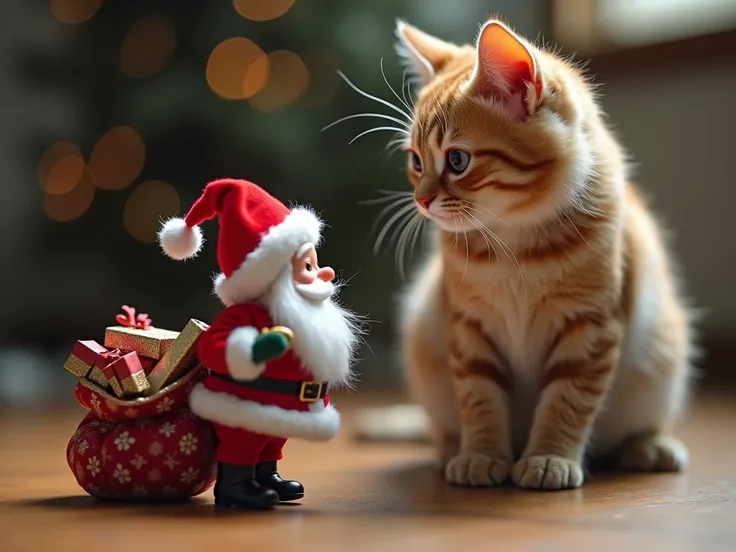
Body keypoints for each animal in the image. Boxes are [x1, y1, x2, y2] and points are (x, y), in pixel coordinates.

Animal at [376, 19, 700, 490]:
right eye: (416, 161)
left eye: (457, 160)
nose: (421, 201)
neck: (514, 242)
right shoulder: (469, 326)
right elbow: (479, 396)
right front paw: (480, 453)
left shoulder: (591, 327)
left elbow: (568, 400)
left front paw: (550, 457)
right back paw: (451, 449)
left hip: (661, 364)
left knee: (636, 426)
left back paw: (649, 445)